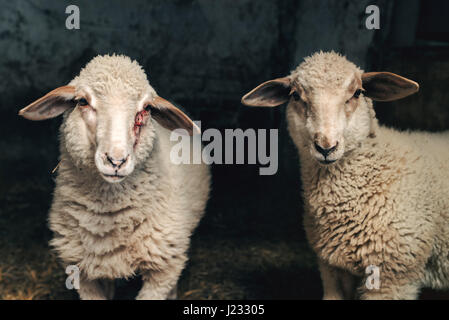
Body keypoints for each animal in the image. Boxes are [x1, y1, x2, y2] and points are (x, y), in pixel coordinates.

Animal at [18, 55, 211, 300]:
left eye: (147, 108)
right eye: (82, 102)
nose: (116, 161)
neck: (108, 216)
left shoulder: (163, 269)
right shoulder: (81, 271)